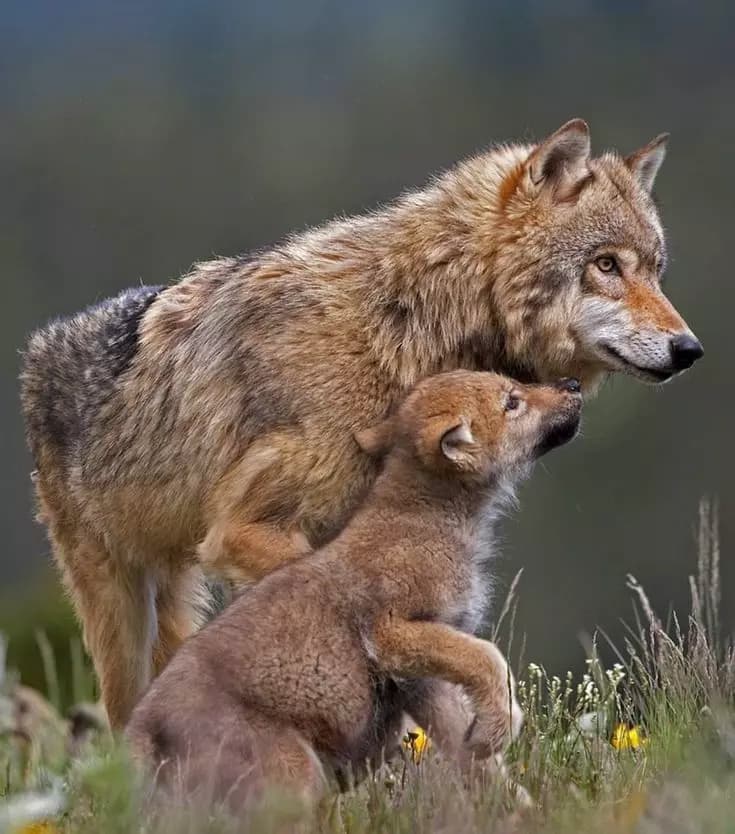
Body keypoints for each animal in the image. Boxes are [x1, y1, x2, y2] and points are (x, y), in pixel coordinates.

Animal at [20, 119, 702, 728]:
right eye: (607, 265)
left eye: (655, 270)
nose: (689, 349)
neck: (400, 328)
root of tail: (41, 342)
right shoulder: (246, 531)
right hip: (117, 612)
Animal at [126, 371, 582, 810]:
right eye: (512, 402)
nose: (573, 385)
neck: (431, 519)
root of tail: (141, 727)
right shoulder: (394, 632)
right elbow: (490, 659)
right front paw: (502, 729)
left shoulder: (421, 681)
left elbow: (468, 747)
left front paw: (516, 801)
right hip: (293, 777)